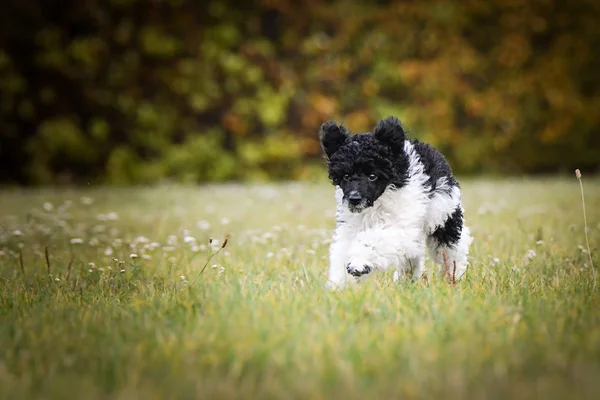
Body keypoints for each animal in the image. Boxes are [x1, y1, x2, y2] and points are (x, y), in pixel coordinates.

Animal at [318, 115, 474, 288]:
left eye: (372, 176)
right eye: (345, 176)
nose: (354, 199)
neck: (377, 204)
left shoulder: (401, 227)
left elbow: (375, 239)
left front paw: (359, 262)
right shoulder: (350, 227)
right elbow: (342, 252)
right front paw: (338, 285)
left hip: (445, 216)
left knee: (452, 251)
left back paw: (453, 277)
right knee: (413, 256)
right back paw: (407, 279)